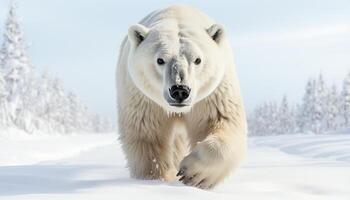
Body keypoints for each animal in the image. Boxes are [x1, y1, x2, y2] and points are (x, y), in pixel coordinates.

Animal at [116, 4, 247, 189]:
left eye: (198, 60)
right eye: (160, 60)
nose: (180, 90)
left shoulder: (213, 94)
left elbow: (222, 122)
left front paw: (193, 173)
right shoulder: (144, 99)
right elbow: (148, 138)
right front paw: (155, 178)